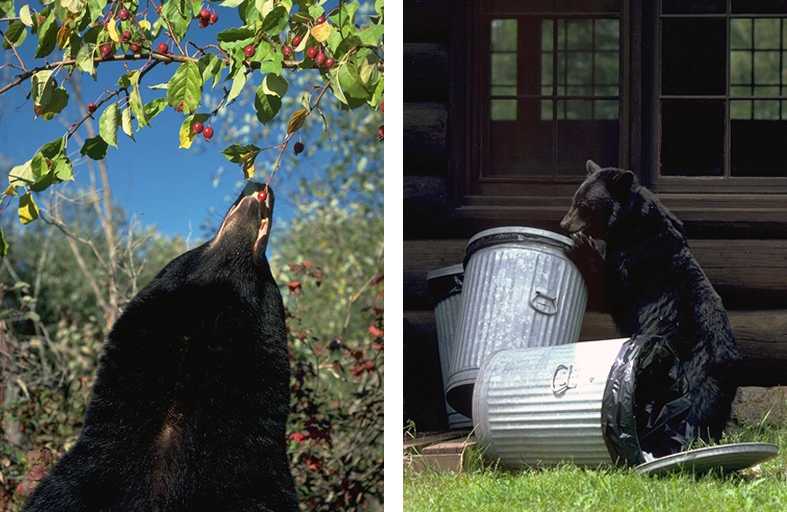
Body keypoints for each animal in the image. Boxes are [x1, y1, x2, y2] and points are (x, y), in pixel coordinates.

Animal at [560, 160, 741, 459]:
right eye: (574, 200)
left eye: (584, 205)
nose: (564, 224)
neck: (631, 225)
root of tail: (730, 367)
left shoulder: (635, 262)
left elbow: (612, 292)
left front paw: (581, 246)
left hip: (693, 375)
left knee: (694, 411)